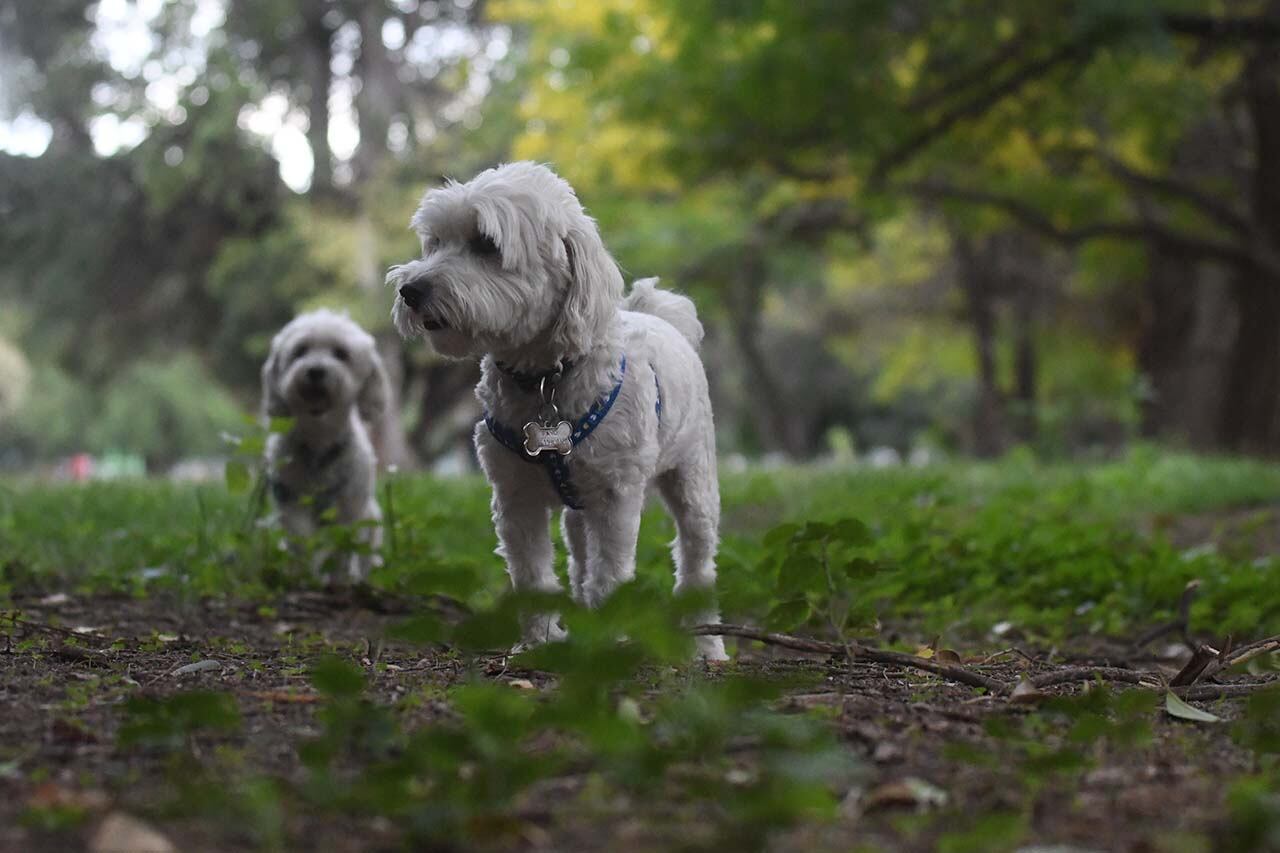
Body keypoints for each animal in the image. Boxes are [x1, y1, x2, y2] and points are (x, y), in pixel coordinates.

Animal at [256, 308, 384, 581]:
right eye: (300, 351)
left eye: (341, 353)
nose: (315, 370)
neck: (318, 442)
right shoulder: (290, 498)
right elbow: (301, 540)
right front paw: (303, 574)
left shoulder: (349, 505)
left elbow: (341, 546)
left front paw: (339, 578)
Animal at [384, 161, 727, 655]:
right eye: (434, 242)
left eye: (485, 244)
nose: (410, 290)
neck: (546, 379)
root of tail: (664, 317)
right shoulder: (515, 496)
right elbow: (533, 576)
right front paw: (541, 643)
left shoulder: (616, 498)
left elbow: (610, 577)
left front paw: (604, 643)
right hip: (577, 511)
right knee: (581, 560)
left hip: (693, 480)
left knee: (697, 560)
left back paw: (708, 647)